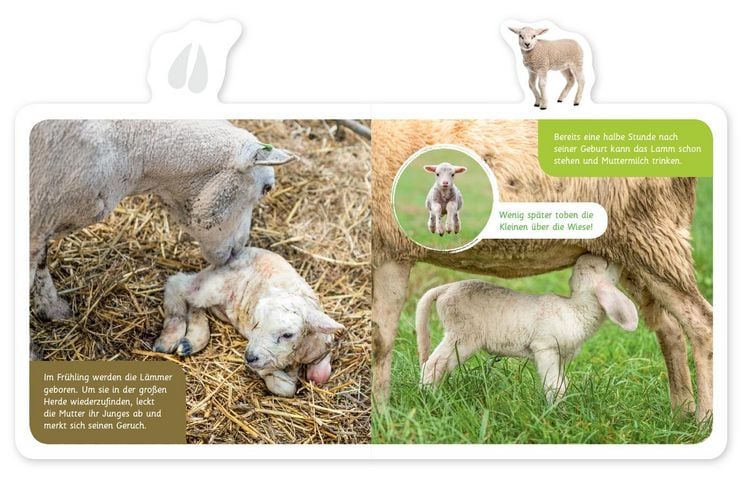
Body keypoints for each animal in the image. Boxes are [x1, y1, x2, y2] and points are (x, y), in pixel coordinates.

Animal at [154, 246, 345, 397]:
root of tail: (237, 252)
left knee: (194, 305)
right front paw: (286, 376)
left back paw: (191, 341)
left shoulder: (322, 345)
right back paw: (170, 337)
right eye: (255, 323)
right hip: (211, 287)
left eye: (287, 334)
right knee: (177, 284)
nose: (250, 357)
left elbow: (320, 375)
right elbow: (284, 387)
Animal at [416, 254, 638, 403]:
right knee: (433, 364)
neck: (576, 309)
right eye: (604, 264)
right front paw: (556, 411)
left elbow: (562, 383)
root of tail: (445, 289)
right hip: (462, 335)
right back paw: (429, 397)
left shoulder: (560, 356)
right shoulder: (545, 346)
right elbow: (554, 385)